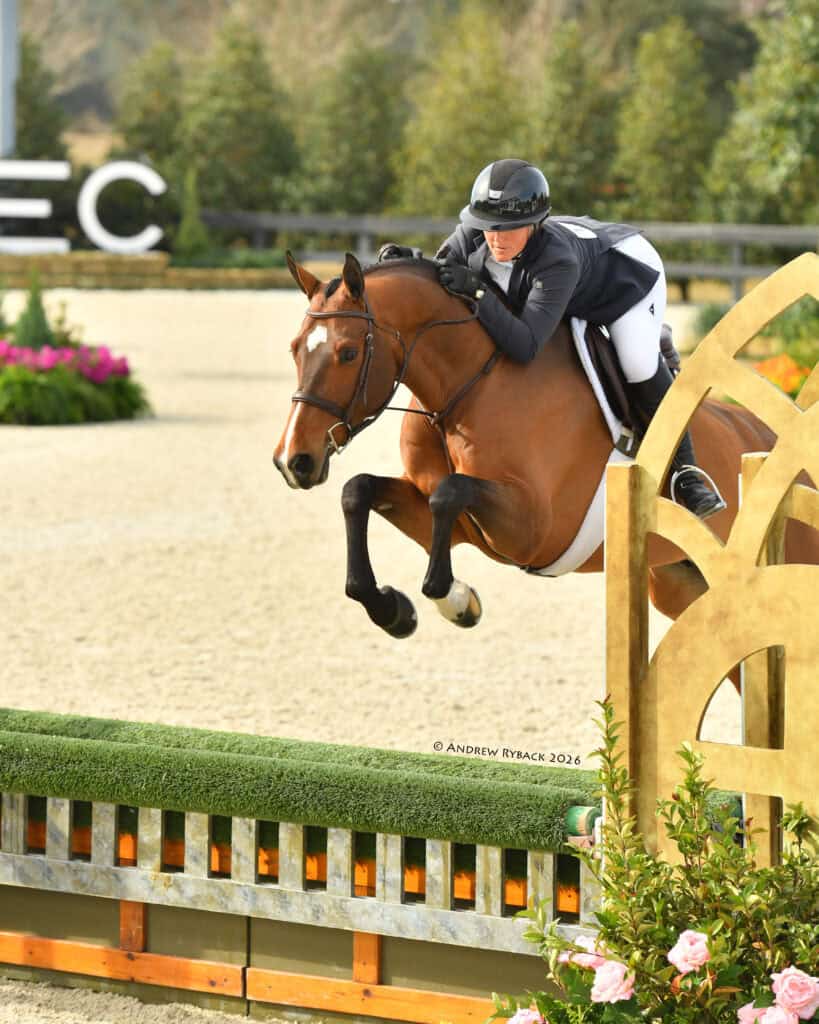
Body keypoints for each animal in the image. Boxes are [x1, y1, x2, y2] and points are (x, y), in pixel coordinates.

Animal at [273, 251, 819, 647]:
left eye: (347, 352)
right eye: (295, 348)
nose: (293, 461)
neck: (470, 385)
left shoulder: (534, 529)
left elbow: (449, 493)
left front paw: (451, 598)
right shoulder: (457, 522)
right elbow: (359, 490)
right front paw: (400, 609)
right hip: (681, 585)